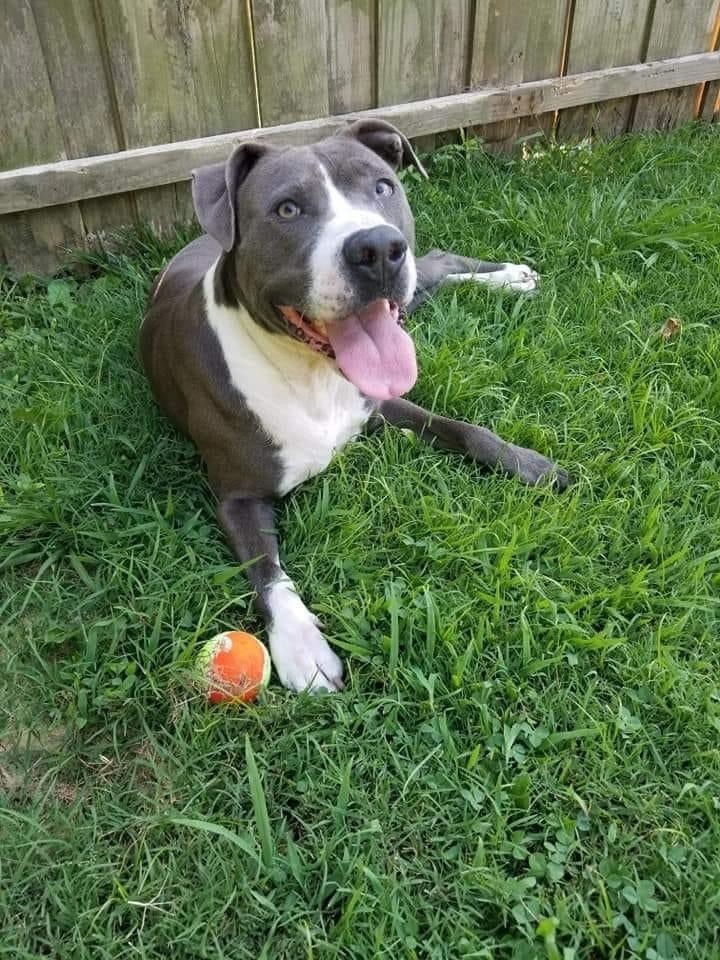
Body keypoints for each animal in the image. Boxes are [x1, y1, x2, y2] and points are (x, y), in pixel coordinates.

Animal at [142, 118, 568, 688]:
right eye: (287, 209)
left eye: (383, 187)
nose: (379, 247)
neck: (311, 373)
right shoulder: (236, 499)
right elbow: (268, 572)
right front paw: (302, 645)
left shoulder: (380, 405)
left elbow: (467, 430)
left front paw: (530, 465)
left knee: (436, 262)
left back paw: (510, 278)